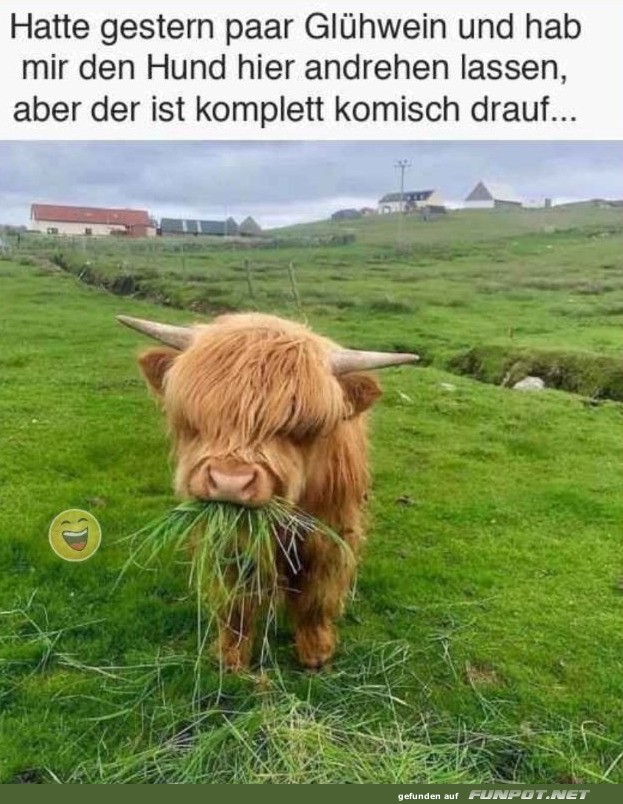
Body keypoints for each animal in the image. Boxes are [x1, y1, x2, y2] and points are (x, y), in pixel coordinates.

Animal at [118, 312, 418, 670]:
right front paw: (231, 656)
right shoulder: (229, 541)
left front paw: (316, 651)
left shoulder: (330, 533)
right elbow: (236, 600)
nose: (230, 481)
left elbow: (317, 594)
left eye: (303, 427)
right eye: (196, 418)